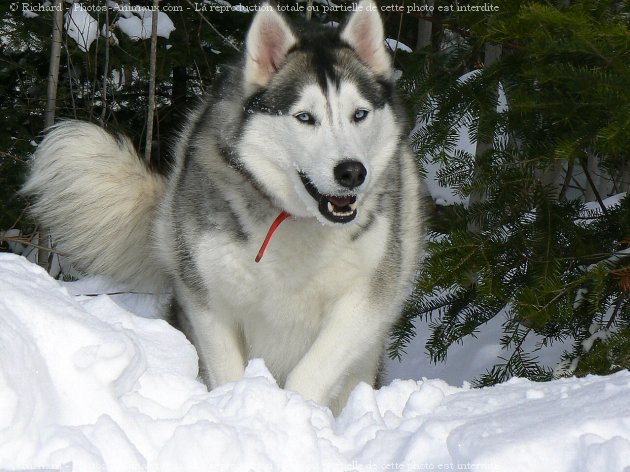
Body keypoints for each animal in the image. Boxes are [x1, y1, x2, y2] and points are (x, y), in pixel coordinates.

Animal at [23, 0, 424, 412]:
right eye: (304, 117)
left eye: (359, 114)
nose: (352, 172)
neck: (294, 220)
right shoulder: (206, 298)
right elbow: (227, 368)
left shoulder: (366, 298)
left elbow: (312, 372)